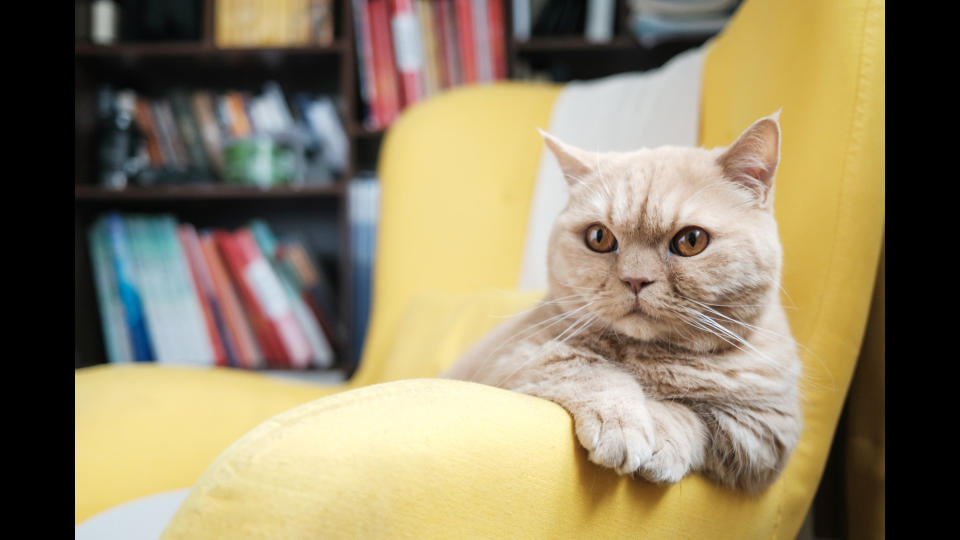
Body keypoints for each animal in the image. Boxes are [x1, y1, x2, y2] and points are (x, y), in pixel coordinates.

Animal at [442, 114, 804, 494]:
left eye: (691, 241)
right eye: (599, 237)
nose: (635, 279)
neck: (650, 357)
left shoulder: (766, 432)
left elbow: (689, 412)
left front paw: (661, 436)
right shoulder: (512, 359)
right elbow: (588, 366)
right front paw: (621, 425)